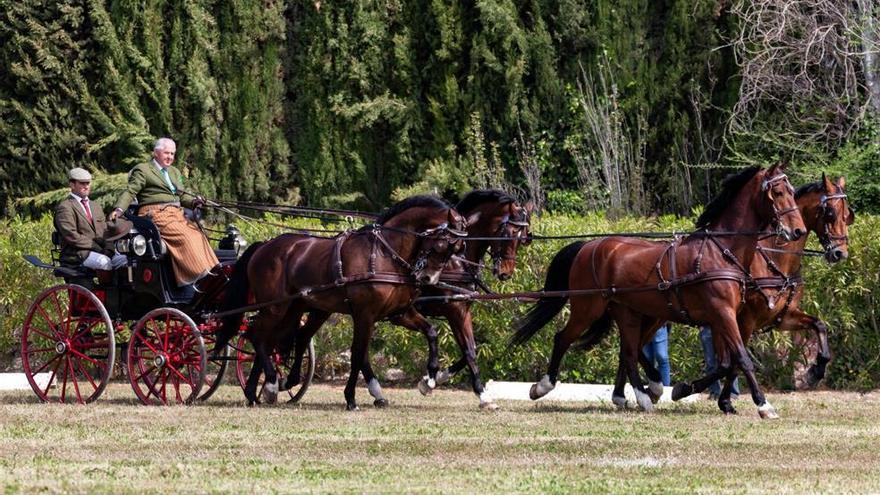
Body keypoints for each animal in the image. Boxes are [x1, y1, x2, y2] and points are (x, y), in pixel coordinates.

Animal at [214, 197, 470, 410]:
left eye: (459, 248)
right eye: (443, 245)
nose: (428, 278)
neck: (384, 253)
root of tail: (265, 245)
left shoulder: (399, 313)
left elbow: (431, 332)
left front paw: (431, 377)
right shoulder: (364, 314)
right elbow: (357, 354)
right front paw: (350, 398)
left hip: (296, 309)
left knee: (277, 339)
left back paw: (260, 390)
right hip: (275, 307)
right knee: (257, 335)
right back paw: (267, 385)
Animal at [396, 190, 532, 410]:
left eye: (523, 238)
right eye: (507, 234)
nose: (505, 273)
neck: (458, 260)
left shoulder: (463, 309)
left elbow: (472, 348)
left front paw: (436, 378)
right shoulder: (454, 311)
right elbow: (468, 351)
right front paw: (482, 395)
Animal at [512, 165, 808, 420]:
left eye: (792, 190)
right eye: (778, 192)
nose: (798, 230)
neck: (721, 252)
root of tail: (589, 246)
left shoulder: (724, 317)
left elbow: (727, 363)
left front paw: (682, 389)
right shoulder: (722, 313)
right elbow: (742, 359)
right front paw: (764, 405)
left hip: (630, 312)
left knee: (628, 350)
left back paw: (643, 394)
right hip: (588, 308)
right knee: (564, 338)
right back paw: (544, 387)